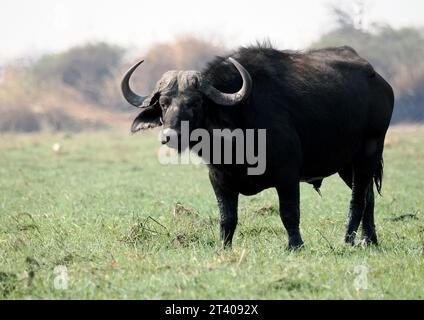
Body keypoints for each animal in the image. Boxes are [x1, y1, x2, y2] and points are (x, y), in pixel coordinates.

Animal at [121, 44, 394, 250]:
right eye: (164, 104)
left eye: (195, 102)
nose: (170, 135)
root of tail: (380, 82)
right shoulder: (219, 179)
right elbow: (227, 217)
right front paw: (223, 247)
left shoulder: (287, 174)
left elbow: (289, 212)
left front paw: (295, 246)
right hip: (347, 165)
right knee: (368, 195)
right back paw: (369, 240)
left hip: (368, 152)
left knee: (358, 198)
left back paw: (349, 240)